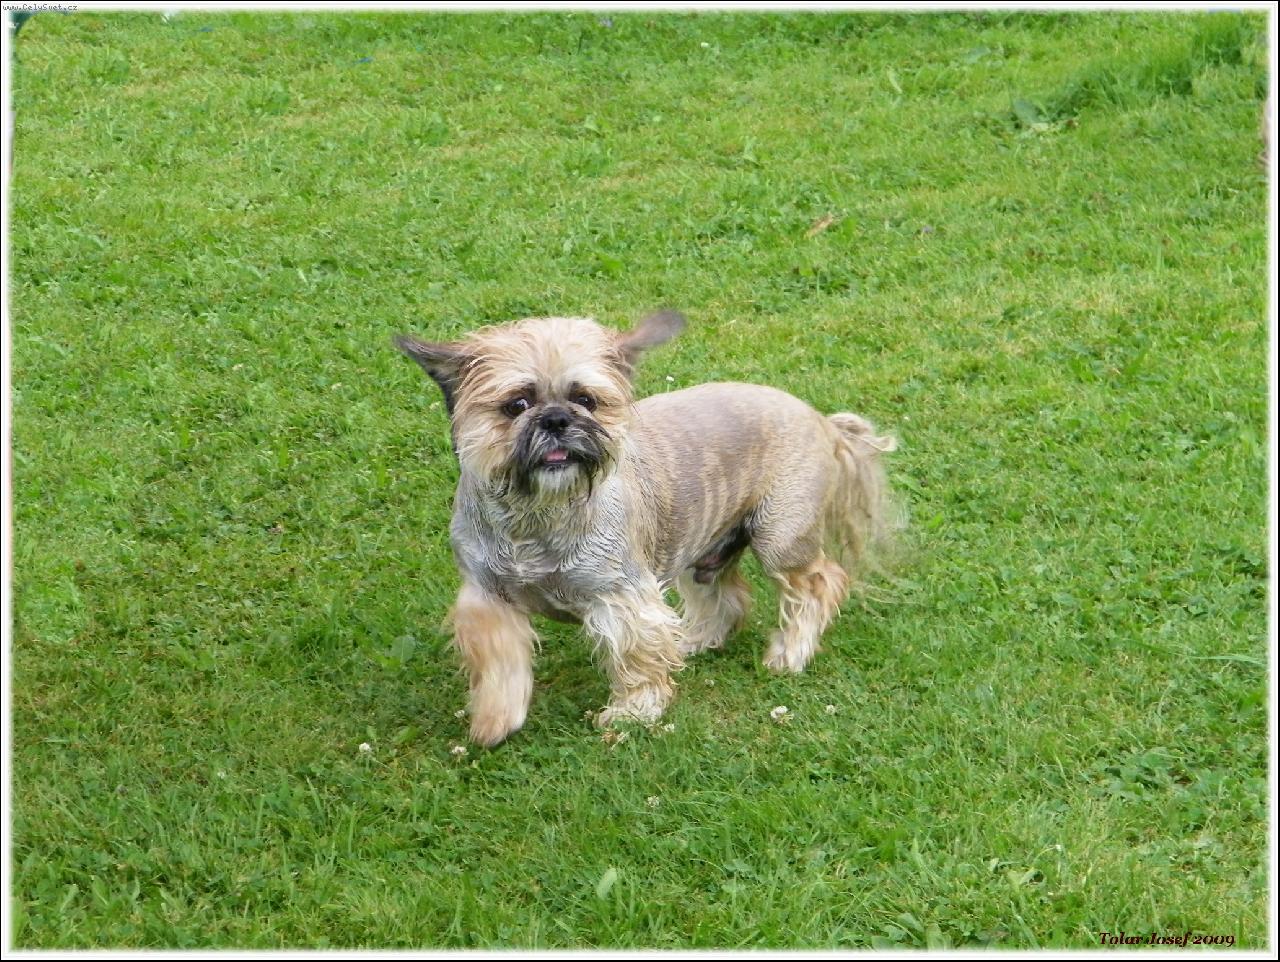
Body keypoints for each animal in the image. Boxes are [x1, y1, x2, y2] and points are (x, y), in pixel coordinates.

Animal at [396, 311, 898, 746]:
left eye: (585, 399)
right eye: (515, 404)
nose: (557, 419)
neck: (537, 518)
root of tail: (822, 421)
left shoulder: (621, 597)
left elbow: (635, 657)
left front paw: (633, 712)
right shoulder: (488, 600)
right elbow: (499, 662)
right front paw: (495, 718)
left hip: (780, 538)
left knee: (819, 584)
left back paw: (789, 653)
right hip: (704, 552)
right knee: (728, 597)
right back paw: (693, 640)